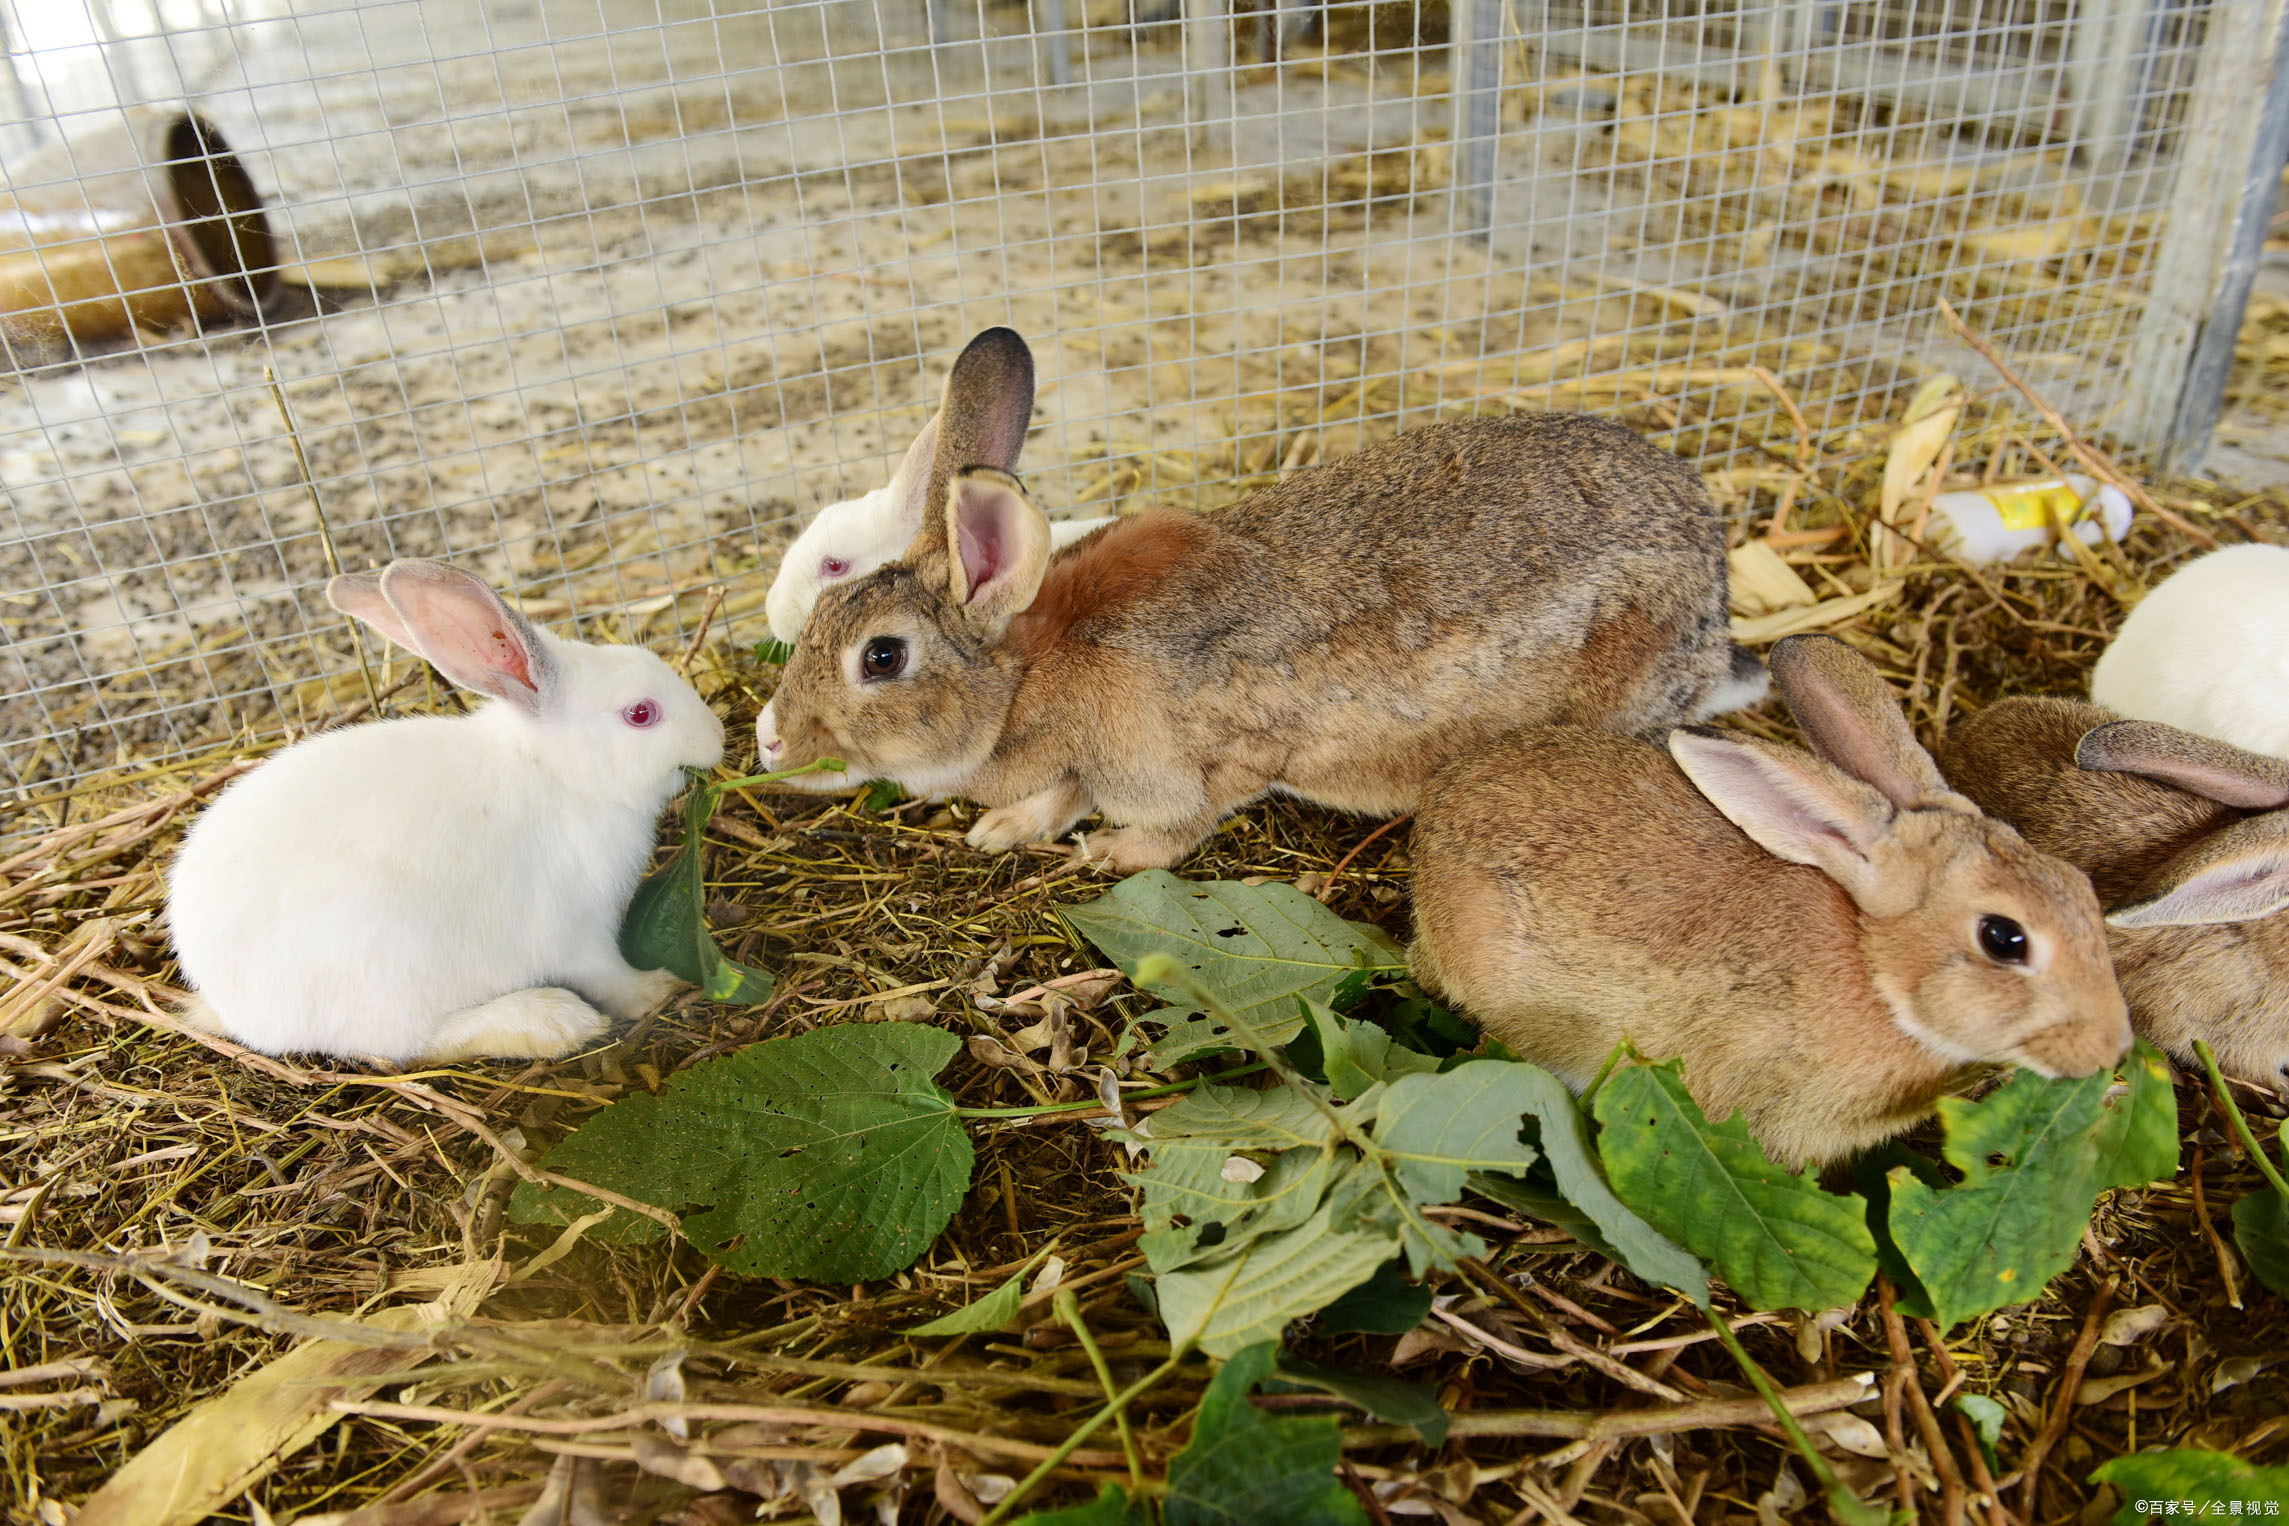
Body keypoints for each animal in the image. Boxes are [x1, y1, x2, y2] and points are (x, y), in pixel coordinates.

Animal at [167, 558, 723, 1061]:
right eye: (641, 714)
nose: (716, 737)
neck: (558, 773)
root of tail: (232, 1006)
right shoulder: (580, 931)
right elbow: (611, 976)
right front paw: (660, 988)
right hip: (391, 974)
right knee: (415, 1043)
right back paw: (551, 1022)